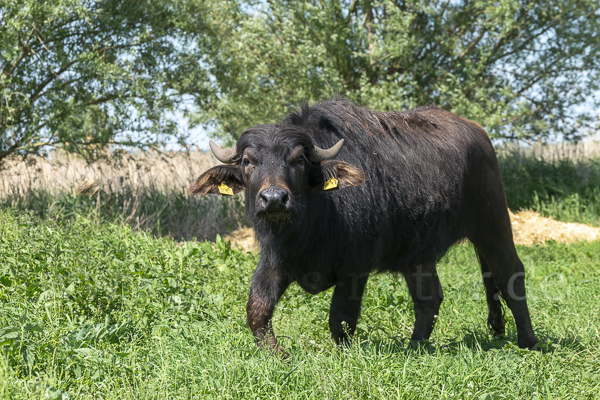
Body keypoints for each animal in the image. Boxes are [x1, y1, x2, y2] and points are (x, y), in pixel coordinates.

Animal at [189, 100, 540, 356]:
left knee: (510, 276)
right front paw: (277, 354)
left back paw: (528, 342)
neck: (310, 225)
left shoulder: (354, 268)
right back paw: (415, 346)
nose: (274, 198)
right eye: (248, 162)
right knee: (429, 298)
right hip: (418, 252)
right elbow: (257, 309)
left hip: (492, 223)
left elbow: (340, 318)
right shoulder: (275, 259)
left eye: (299, 160)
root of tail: (479, 134)